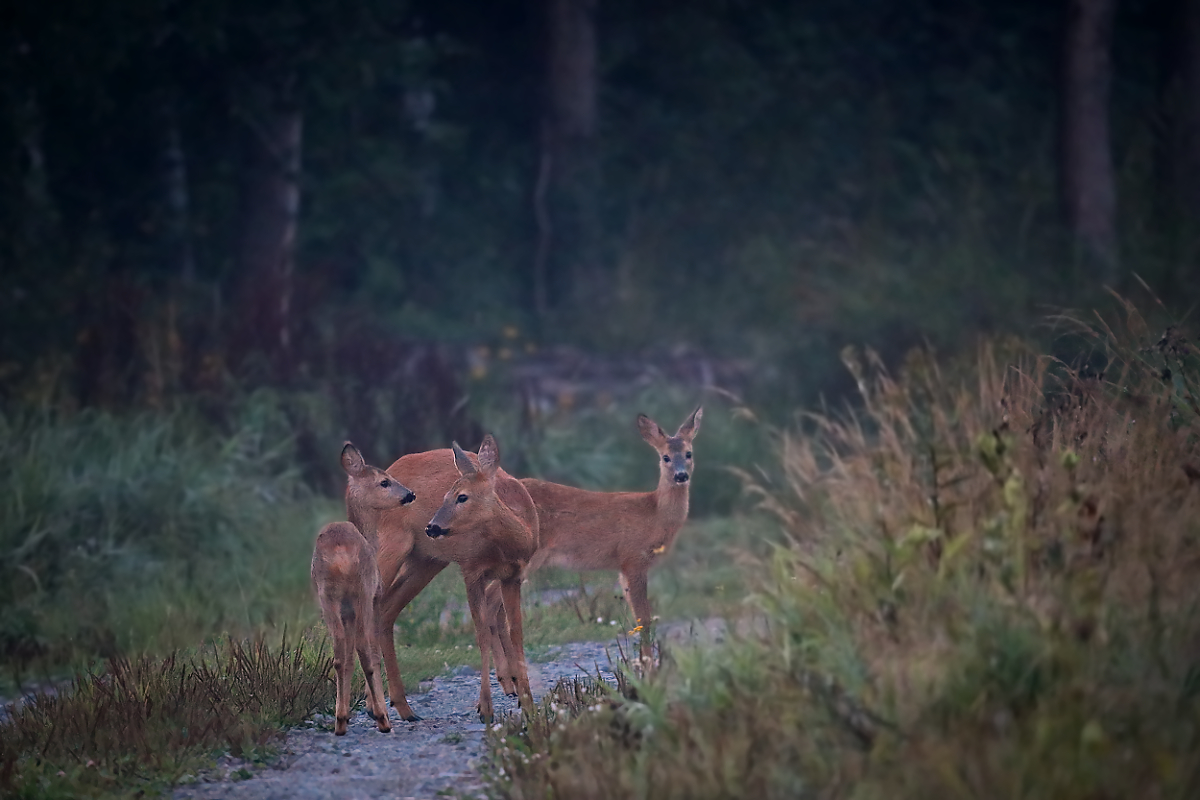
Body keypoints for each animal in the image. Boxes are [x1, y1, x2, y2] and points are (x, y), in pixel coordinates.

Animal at [312, 443, 415, 738]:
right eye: (384, 481)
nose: (410, 494)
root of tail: (339, 555)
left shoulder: (345, 610)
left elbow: (346, 659)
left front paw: (345, 715)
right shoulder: (374, 596)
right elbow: (372, 652)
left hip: (327, 596)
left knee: (338, 654)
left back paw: (340, 722)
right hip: (362, 591)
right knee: (366, 651)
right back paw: (383, 719)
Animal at [422, 434, 535, 724]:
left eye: (462, 497)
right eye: (445, 496)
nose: (432, 527)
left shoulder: (514, 576)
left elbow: (516, 631)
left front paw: (528, 702)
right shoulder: (471, 571)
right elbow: (481, 632)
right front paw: (485, 707)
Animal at [489, 402, 700, 681]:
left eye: (688, 453)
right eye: (665, 457)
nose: (680, 476)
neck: (653, 513)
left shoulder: (623, 567)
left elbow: (638, 619)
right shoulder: (633, 558)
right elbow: (644, 620)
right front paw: (648, 671)